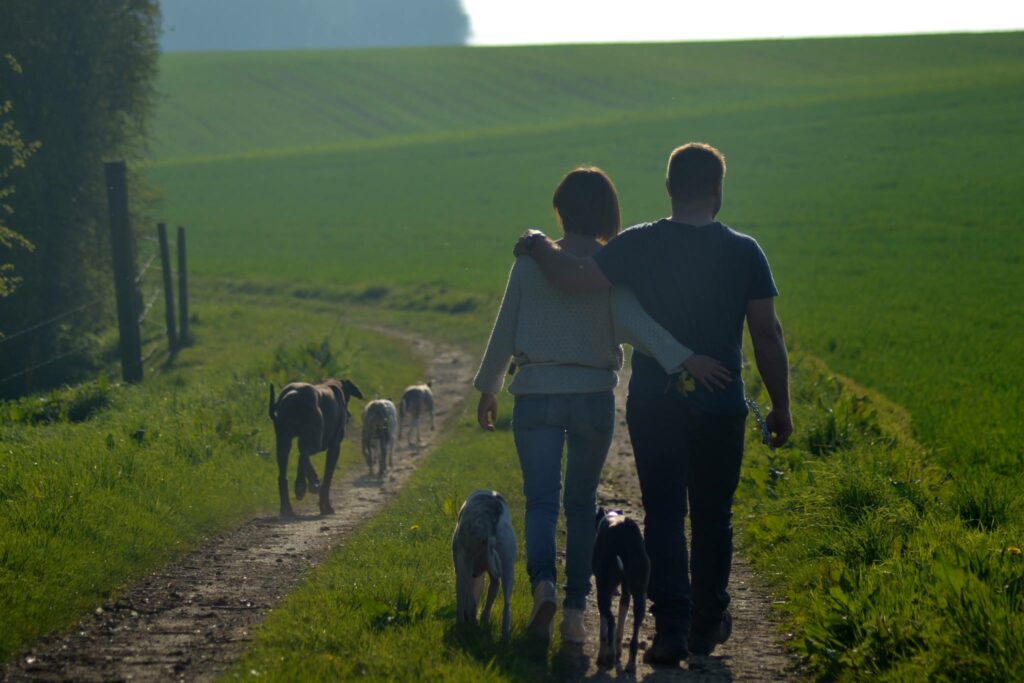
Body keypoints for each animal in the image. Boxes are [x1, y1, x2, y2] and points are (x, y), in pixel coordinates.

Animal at [268, 378, 364, 518]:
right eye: (348, 399)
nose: (349, 415)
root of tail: (293, 394)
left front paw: (314, 481)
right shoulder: (335, 447)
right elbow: (327, 480)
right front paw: (326, 507)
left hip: (283, 442)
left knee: (284, 475)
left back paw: (288, 508)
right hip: (316, 440)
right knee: (303, 454)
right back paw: (301, 486)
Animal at [452, 491, 516, 643]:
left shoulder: (462, 569)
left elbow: (467, 600)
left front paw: (468, 621)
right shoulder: (493, 578)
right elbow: (488, 599)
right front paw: (483, 621)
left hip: (464, 563)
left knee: (467, 599)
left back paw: (462, 624)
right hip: (508, 566)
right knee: (507, 606)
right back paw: (505, 638)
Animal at [593, 509, 647, 671]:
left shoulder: (604, 589)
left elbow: (604, 630)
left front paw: (602, 656)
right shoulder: (626, 594)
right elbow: (621, 623)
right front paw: (618, 651)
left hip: (603, 591)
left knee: (611, 621)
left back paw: (609, 655)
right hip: (640, 595)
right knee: (635, 630)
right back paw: (630, 664)